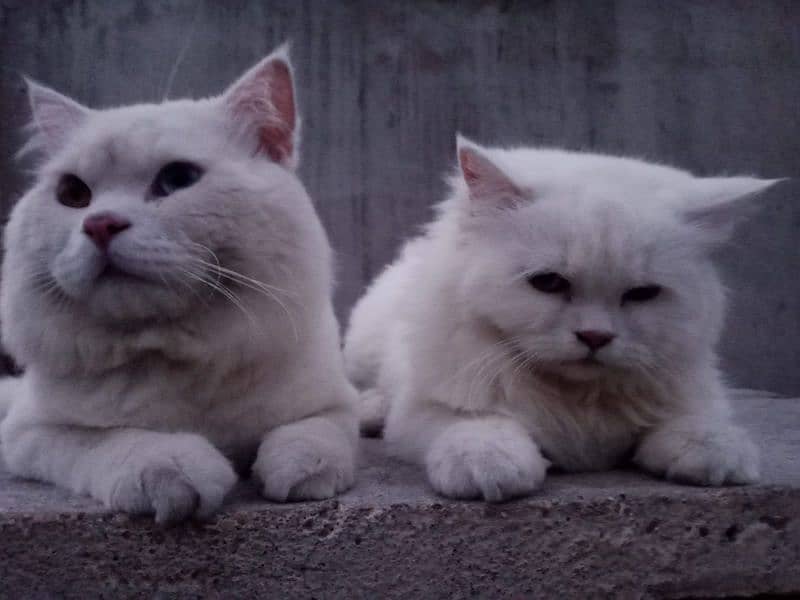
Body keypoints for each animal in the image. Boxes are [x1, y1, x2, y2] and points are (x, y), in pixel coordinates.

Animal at [0, 47, 358, 524]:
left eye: (177, 180)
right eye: (73, 194)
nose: (100, 225)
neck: (173, 347)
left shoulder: (336, 403)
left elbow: (313, 434)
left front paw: (298, 473)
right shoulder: (30, 432)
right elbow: (113, 441)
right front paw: (175, 472)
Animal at [346, 136, 780, 502]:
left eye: (642, 294)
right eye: (549, 283)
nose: (595, 336)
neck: (578, 401)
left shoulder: (688, 390)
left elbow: (692, 424)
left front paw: (715, 454)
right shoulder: (423, 408)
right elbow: (475, 424)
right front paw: (491, 468)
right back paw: (368, 411)